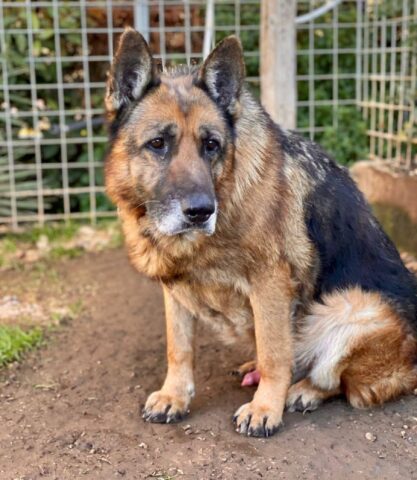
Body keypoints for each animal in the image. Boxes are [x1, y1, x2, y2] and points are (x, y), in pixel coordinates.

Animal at [105, 28, 416, 436]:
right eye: (158, 143)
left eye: (211, 145)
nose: (201, 212)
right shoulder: (174, 289)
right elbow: (179, 348)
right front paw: (174, 395)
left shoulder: (270, 283)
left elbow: (274, 353)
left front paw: (266, 407)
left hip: (350, 307)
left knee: (335, 379)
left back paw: (303, 391)